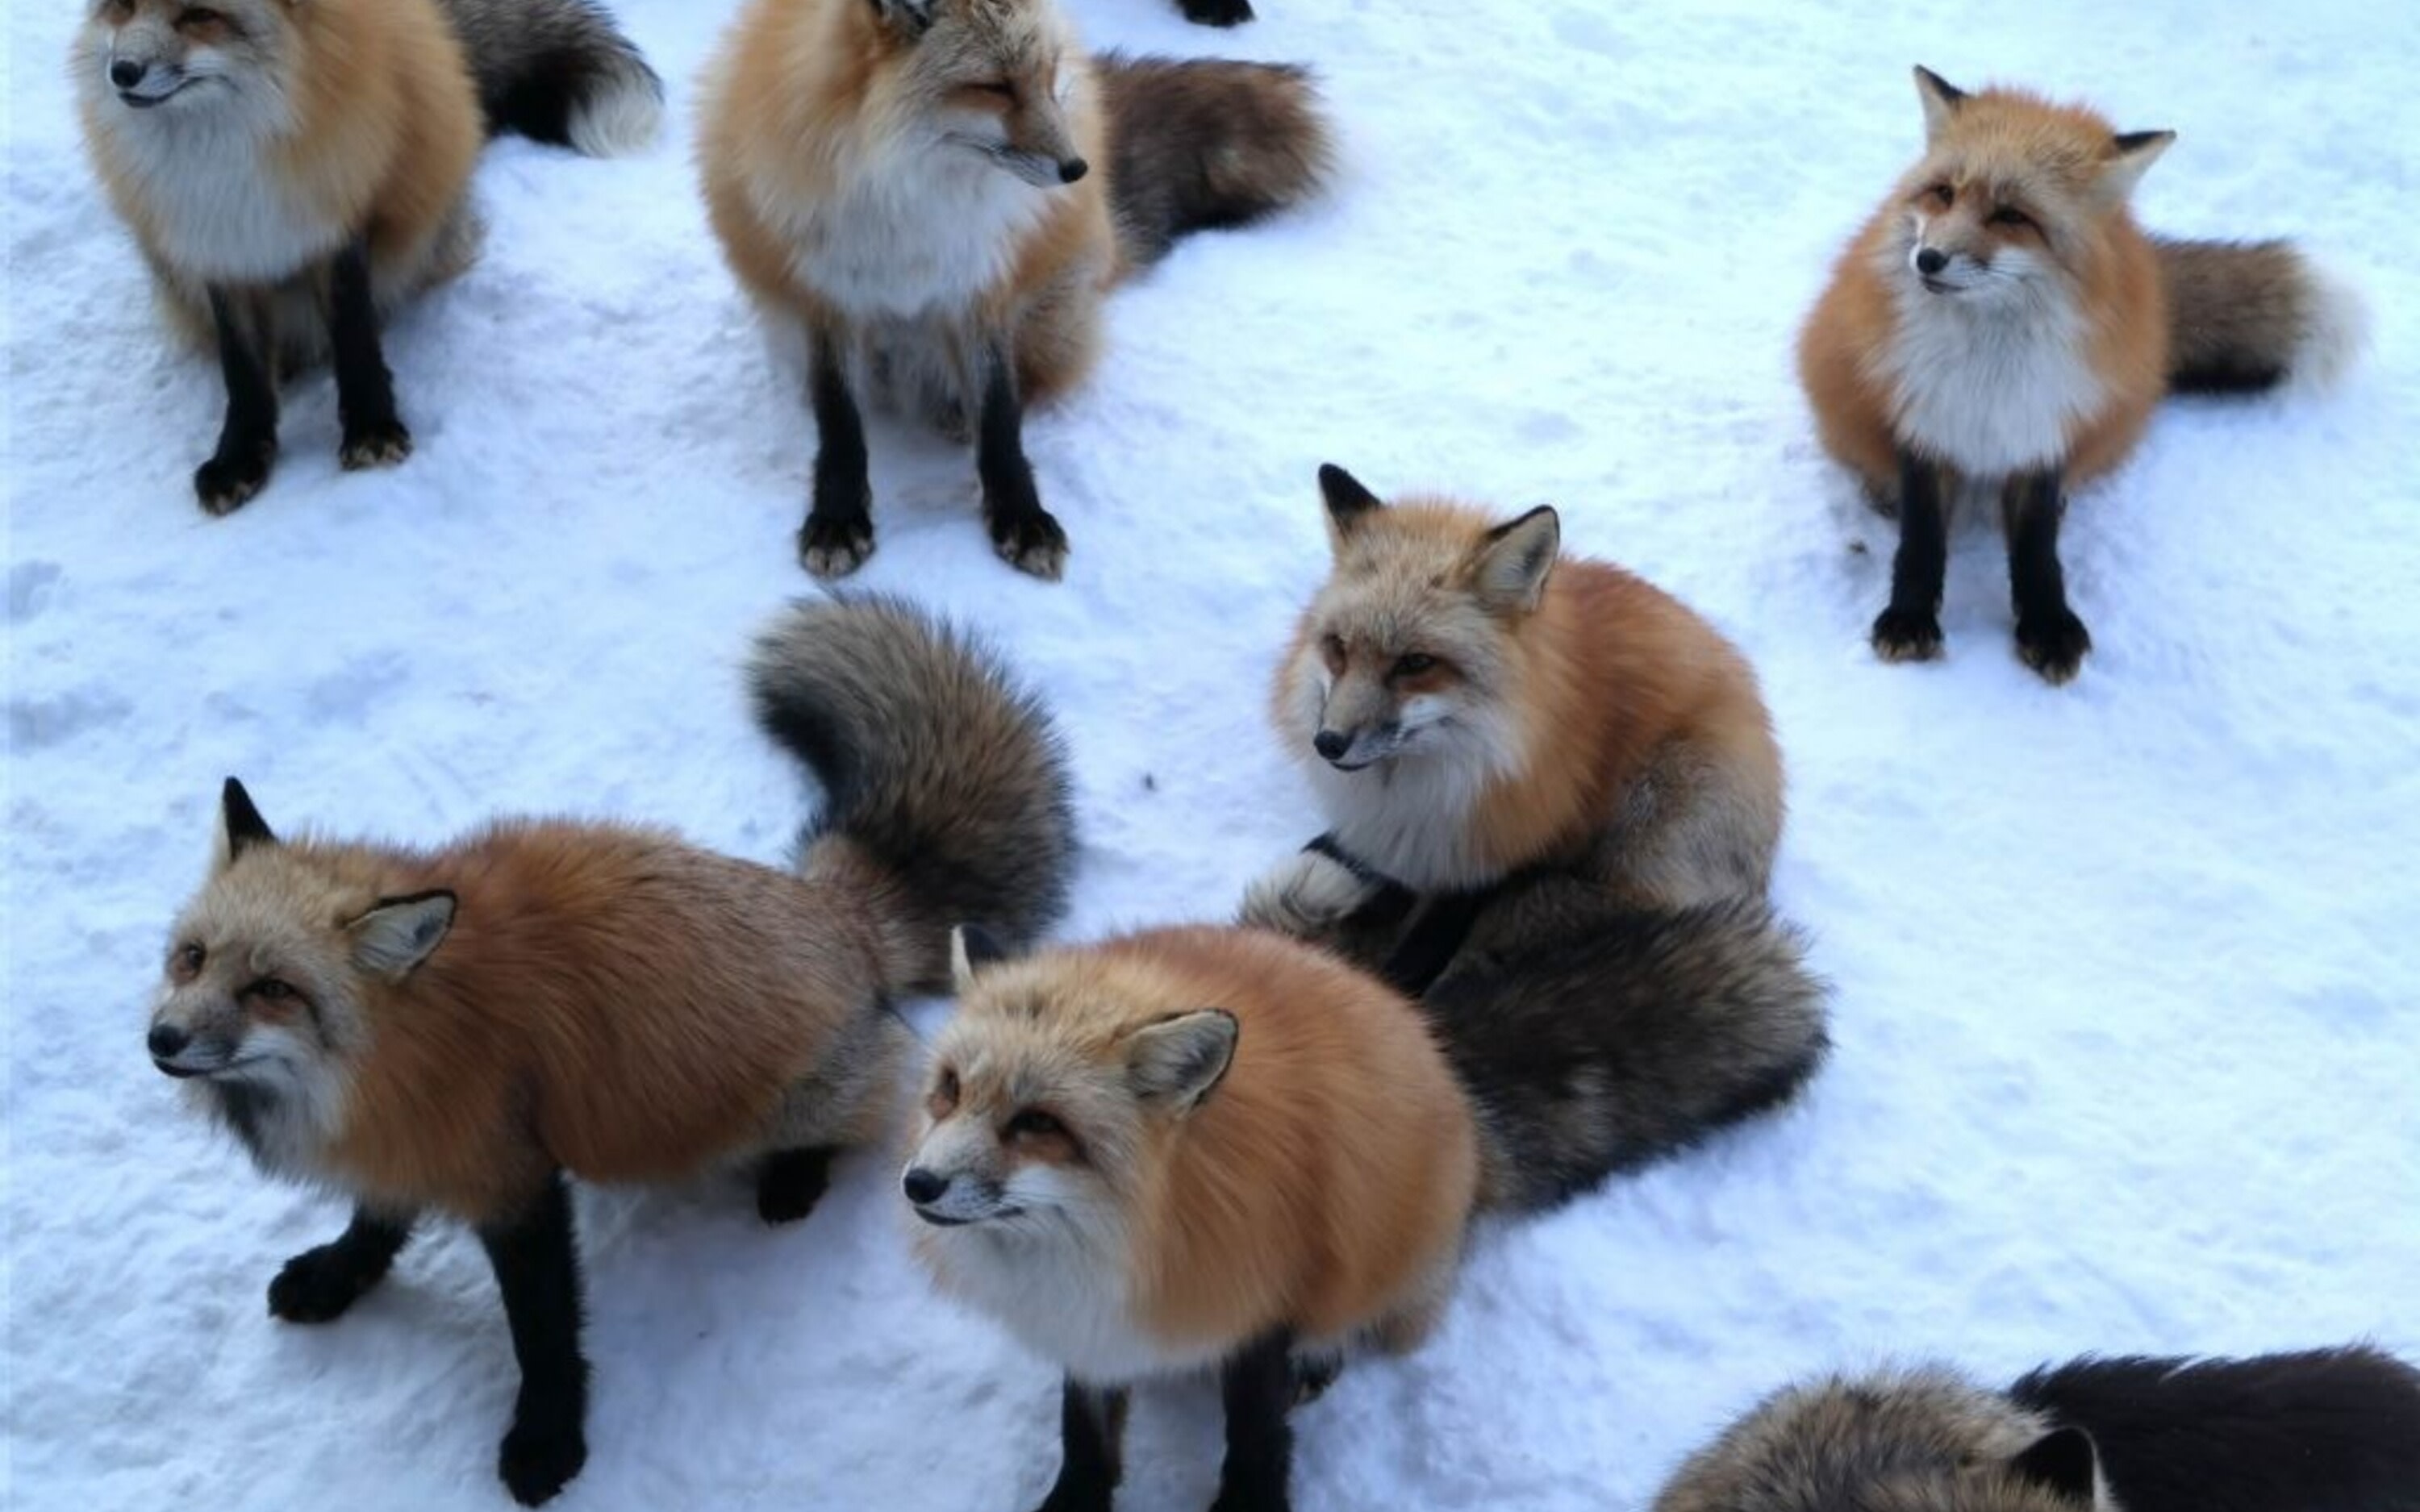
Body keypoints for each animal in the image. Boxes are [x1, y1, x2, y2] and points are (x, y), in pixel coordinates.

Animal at [74, 0, 664, 515]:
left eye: (200, 15)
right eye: (122, 8)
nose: (122, 71)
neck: (227, 158)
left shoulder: (340, 219)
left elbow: (356, 337)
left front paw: (372, 428)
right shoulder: (214, 245)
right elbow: (242, 372)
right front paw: (240, 456)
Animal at [141, 597, 1074, 1506]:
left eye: (273, 988)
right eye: (191, 959)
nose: (162, 1040)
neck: (391, 1057)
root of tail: (836, 908)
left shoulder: (511, 1175)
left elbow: (543, 1330)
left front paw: (547, 1442)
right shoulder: (414, 1140)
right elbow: (375, 1222)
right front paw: (339, 1277)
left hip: (796, 1103)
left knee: (872, 1102)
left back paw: (795, 1177)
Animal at [698, 0, 1332, 581]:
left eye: (1047, 77)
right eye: (994, 87)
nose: (1077, 168)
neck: (910, 195)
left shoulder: (980, 284)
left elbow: (1002, 416)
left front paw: (1021, 517)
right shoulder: (826, 292)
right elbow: (839, 421)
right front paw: (837, 516)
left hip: (1049, 316)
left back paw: (957, 412)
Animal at [1800, 67, 2367, 682]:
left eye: (2012, 216)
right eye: (1944, 193)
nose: (1927, 259)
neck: (1987, 369)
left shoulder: (2046, 422)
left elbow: (2037, 548)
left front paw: (2047, 626)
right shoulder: (1925, 418)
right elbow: (1921, 540)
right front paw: (1909, 618)